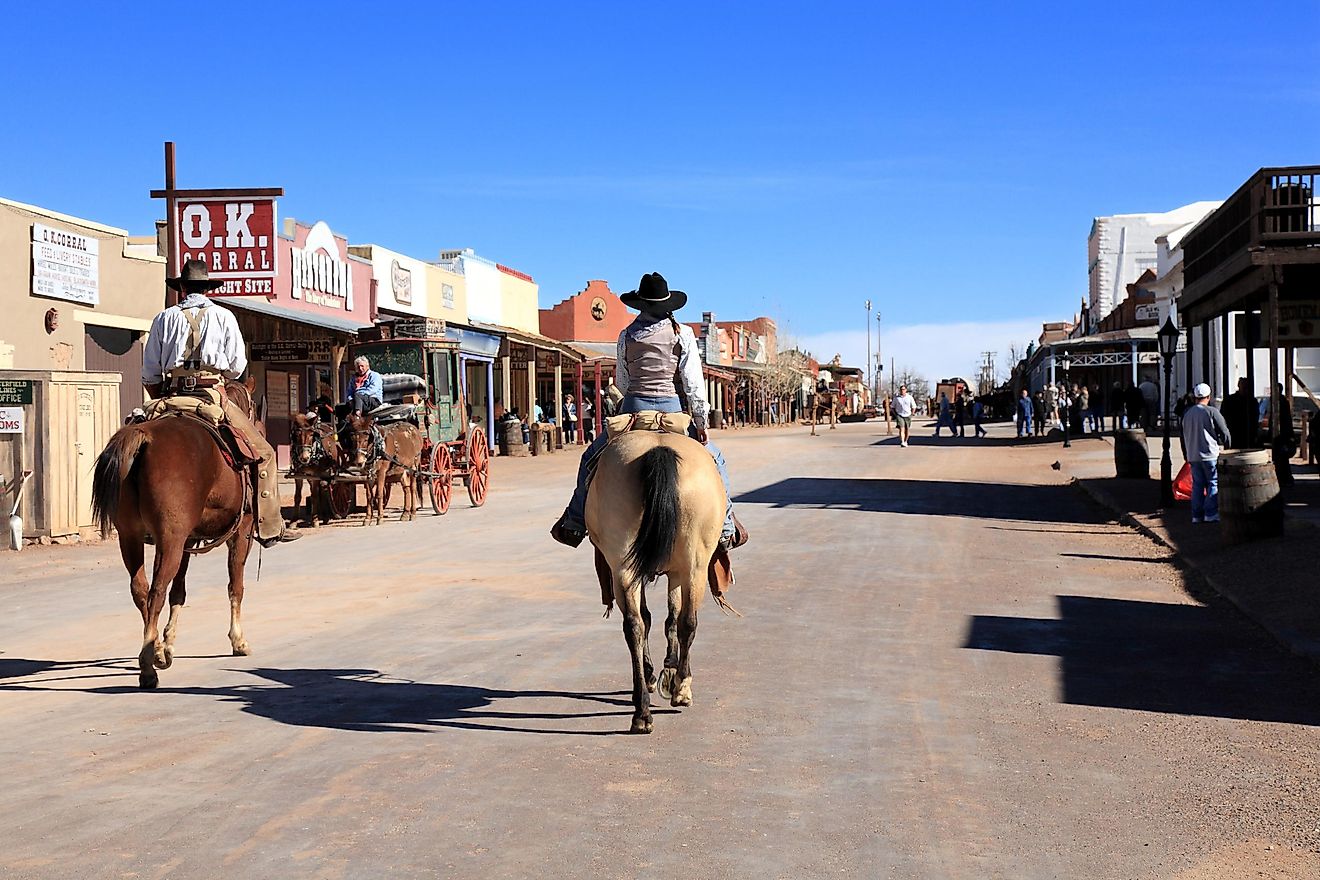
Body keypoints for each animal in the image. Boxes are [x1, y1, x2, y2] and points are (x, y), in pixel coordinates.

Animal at [90, 382, 257, 691]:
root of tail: (143, 437)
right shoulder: (241, 533)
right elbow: (235, 585)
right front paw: (238, 640)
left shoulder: (188, 540)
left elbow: (179, 590)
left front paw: (167, 644)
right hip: (169, 541)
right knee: (156, 591)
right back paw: (148, 668)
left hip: (131, 538)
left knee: (141, 589)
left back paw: (154, 650)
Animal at [591, 430, 733, 733]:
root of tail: (658, 449)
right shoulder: (678, 573)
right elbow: (673, 617)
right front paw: (669, 671)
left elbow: (658, 617)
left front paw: (658, 671)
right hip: (695, 564)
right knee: (686, 621)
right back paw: (681, 690)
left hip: (624, 564)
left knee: (635, 625)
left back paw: (642, 711)